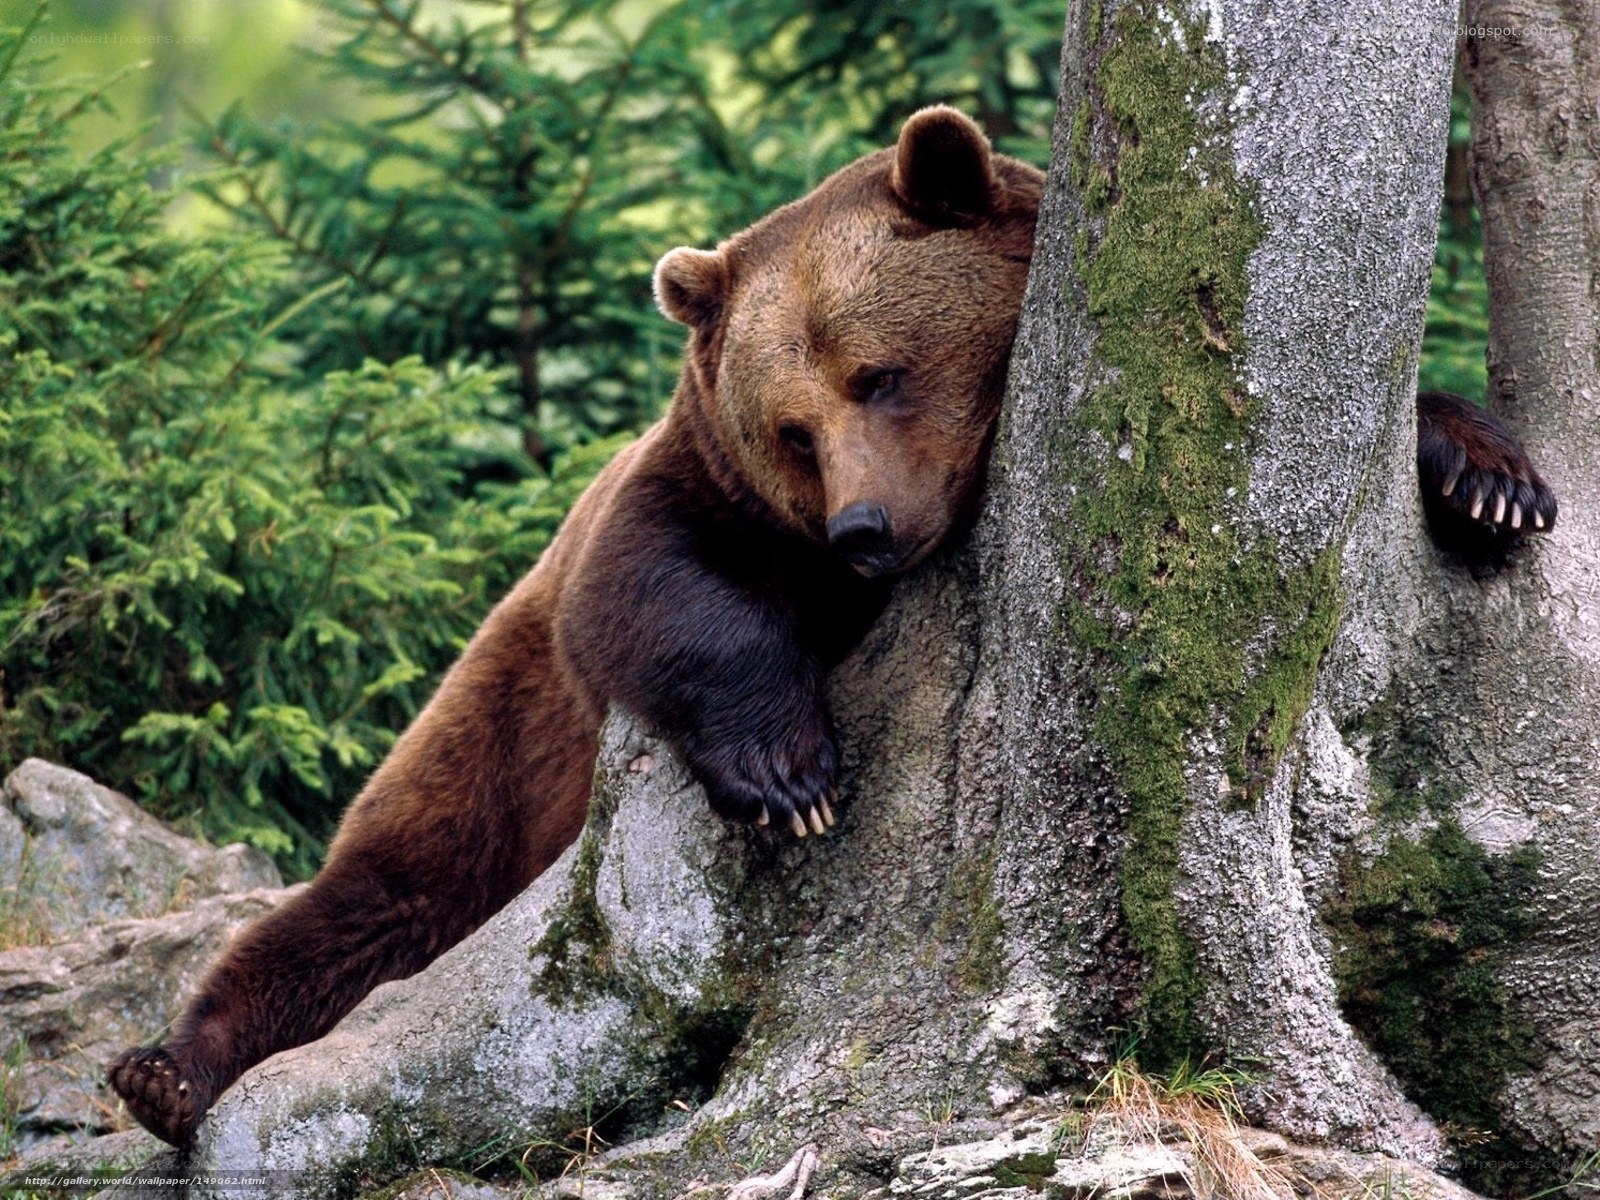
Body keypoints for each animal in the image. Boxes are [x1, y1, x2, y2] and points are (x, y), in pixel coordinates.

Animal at [106, 106, 1555, 1149]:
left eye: (884, 374)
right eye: (793, 426)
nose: (865, 529)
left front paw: (1491, 478)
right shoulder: (696, 492)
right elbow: (650, 586)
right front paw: (786, 771)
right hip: (494, 745)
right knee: (374, 904)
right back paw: (169, 1069)